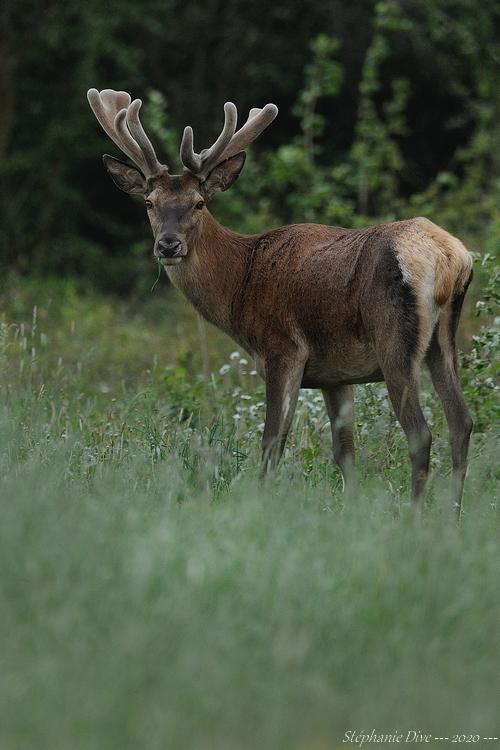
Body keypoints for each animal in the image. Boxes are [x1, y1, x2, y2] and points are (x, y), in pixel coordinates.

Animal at [88, 86, 474, 512]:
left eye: (199, 203)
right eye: (149, 203)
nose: (168, 245)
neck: (240, 285)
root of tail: (450, 256)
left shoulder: (283, 348)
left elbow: (272, 444)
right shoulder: (336, 374)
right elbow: (345, 451)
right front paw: (352, 511)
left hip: (394, 339)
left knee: (421, 432)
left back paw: (415, 515)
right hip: (443, 340)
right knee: (461, 422)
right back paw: (451, 514)